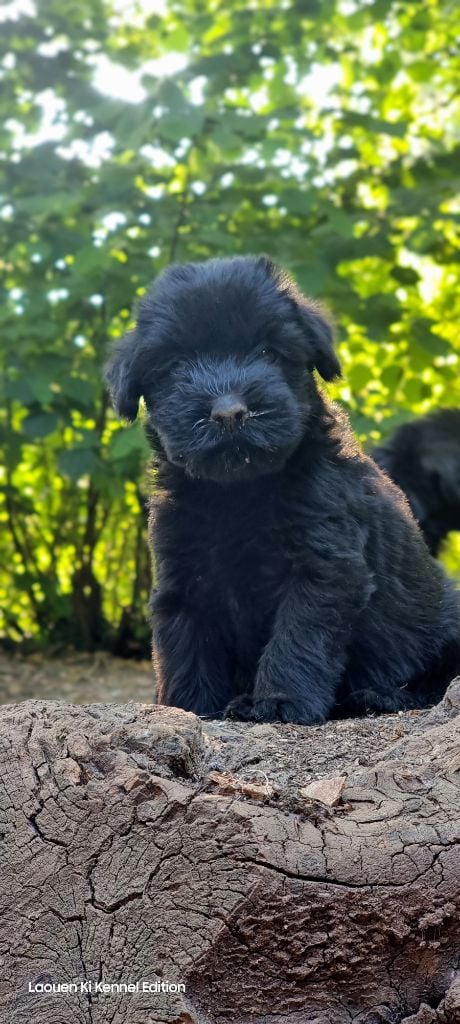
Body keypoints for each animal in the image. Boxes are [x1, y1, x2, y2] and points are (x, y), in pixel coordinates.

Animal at [103, 256, 458, 724]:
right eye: (177, 365)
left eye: (268, 352)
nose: (229, 412)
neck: (237, 494)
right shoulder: (183, 575)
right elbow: (185, 643)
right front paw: (188, 706)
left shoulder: (324, 567)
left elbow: (298, 637)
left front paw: (278, 701)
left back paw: (381, 695)